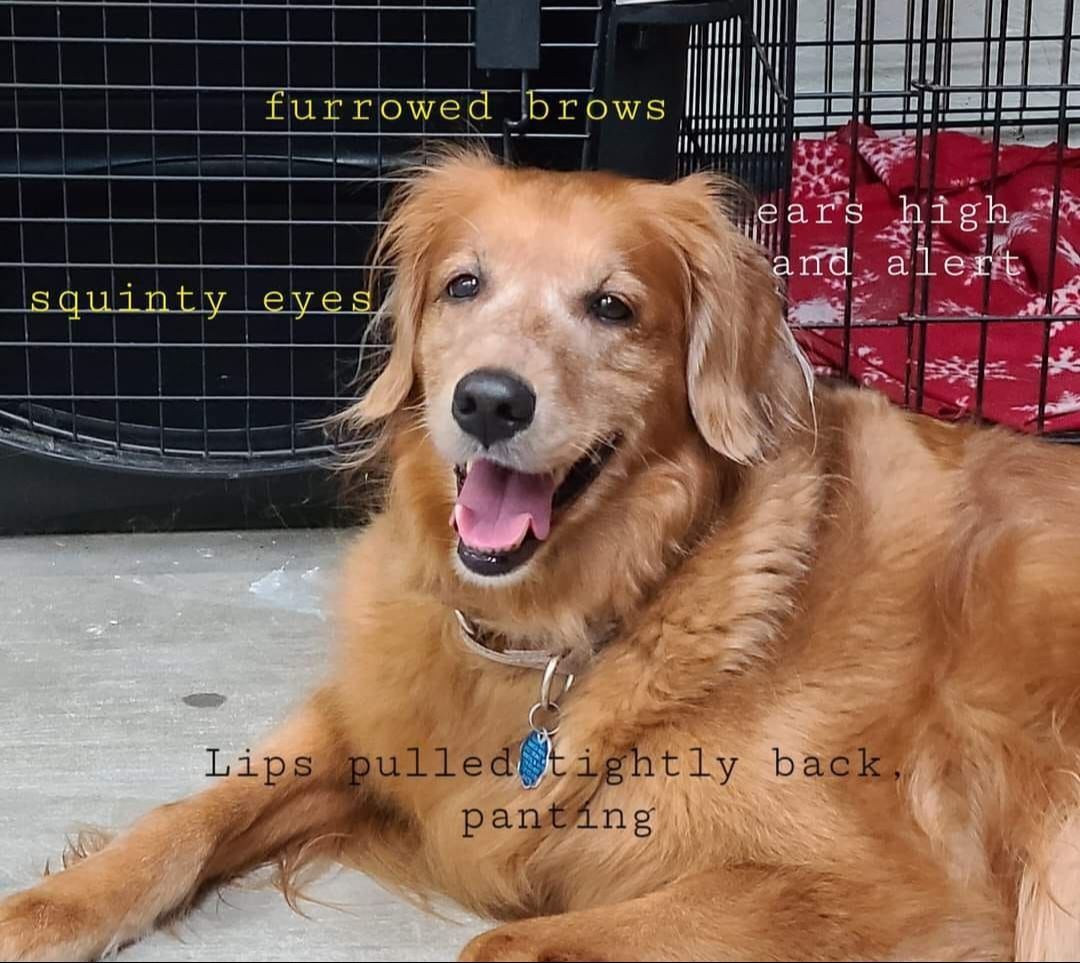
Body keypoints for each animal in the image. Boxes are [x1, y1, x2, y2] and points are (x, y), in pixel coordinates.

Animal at [4, 148, 1080, 962]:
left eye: (612, 307)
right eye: (463, 284)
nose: (488, 400)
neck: (559, 625)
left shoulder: (887, 891)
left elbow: (504, 943)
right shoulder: (369, 715)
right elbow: (188, 815)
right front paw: (54, 908)